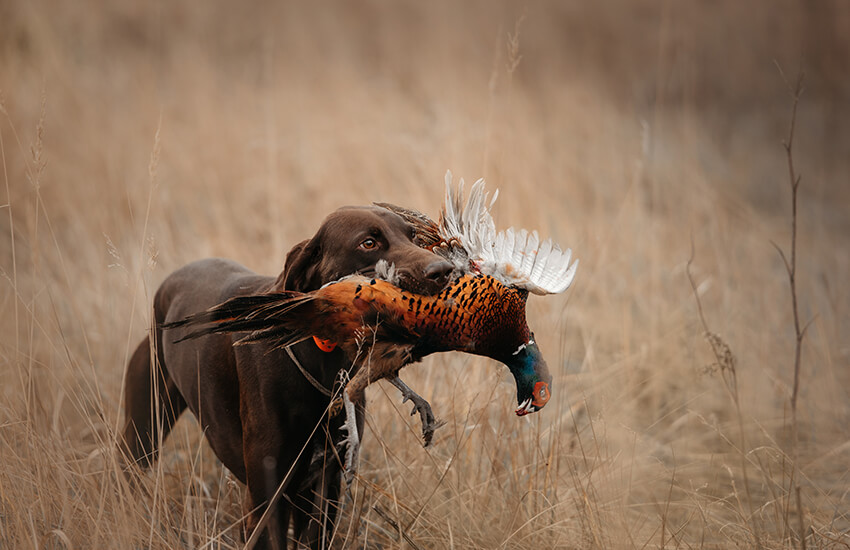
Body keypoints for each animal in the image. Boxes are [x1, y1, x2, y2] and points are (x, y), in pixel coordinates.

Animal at [121, 206, 450, 548]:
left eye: (413, 236)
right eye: (368, 243)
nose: (444, 270)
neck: (321, 365)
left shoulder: (324, 493)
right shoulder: (267, 499)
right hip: (143, 432)